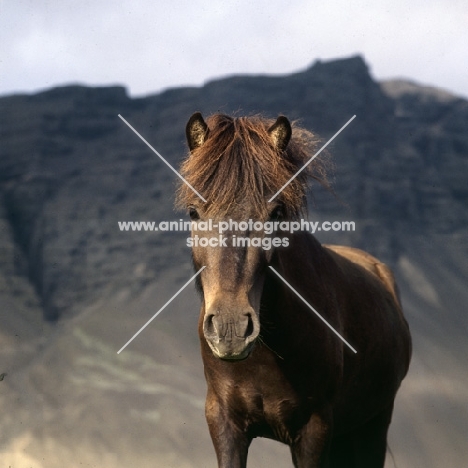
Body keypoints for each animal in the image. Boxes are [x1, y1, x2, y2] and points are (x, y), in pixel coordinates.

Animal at [177, 111, 412, 466]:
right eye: (194, 212)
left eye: (275, 213)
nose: (231, 328)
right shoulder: (224, 423)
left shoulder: (314, 430)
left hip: (373, 426)